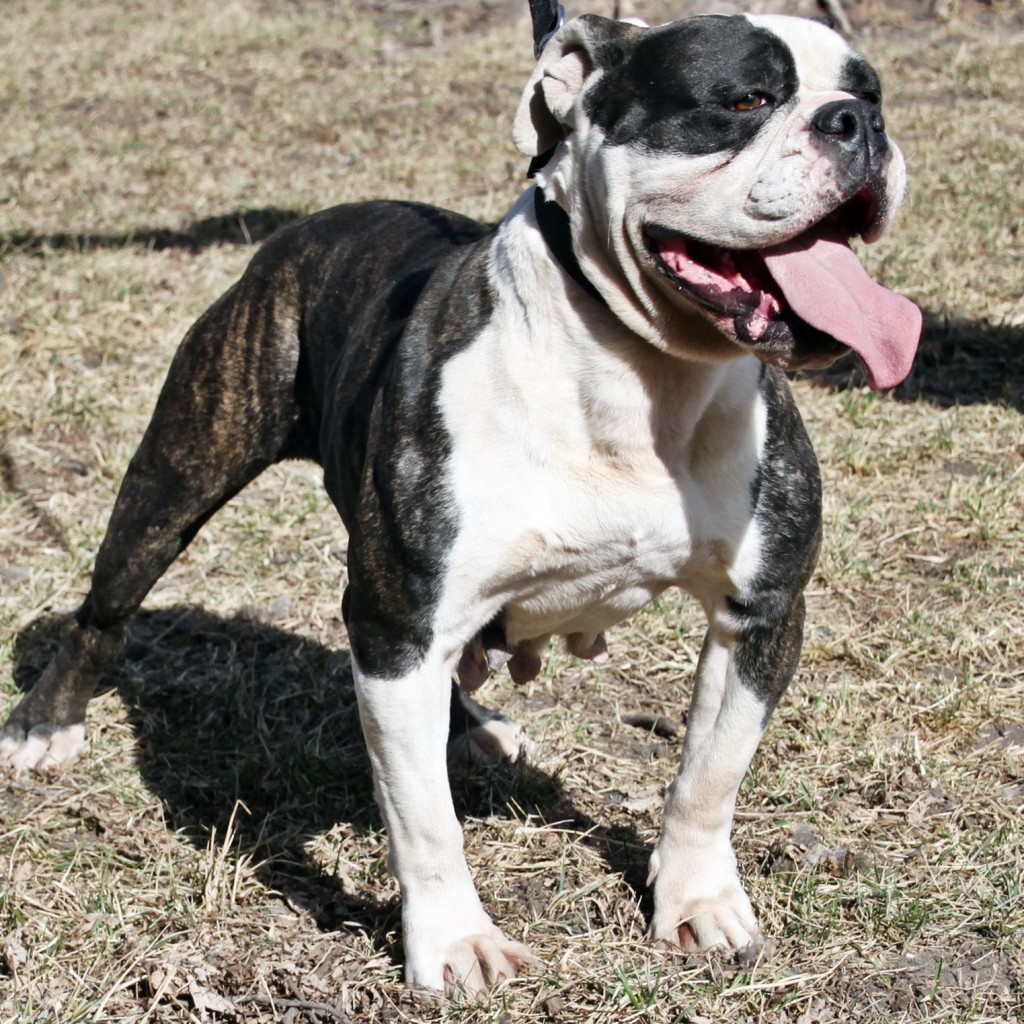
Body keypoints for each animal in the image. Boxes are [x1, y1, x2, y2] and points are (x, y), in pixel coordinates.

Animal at [0, 12, 925, 995]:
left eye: (871, 92)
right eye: (746, 99)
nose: (856, 125)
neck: (640, 374)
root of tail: (307, 228)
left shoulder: (760, 613)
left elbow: (708, 776)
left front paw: (698, 902)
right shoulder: (397, 622)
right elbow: (425, 821)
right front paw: (454, 943)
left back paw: (474, 727)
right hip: (182, 469)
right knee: (106, 608)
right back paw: (44, 727)